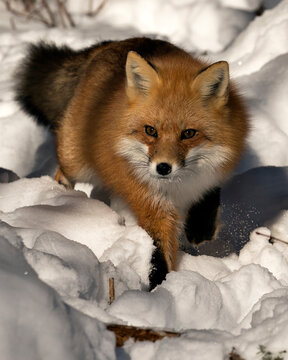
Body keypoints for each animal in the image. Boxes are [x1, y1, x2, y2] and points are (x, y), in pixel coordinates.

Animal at [15, 37, 249, 290]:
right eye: (150, 131)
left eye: (188, 133)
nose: (163, 168)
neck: (179, 185)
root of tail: (112, 43)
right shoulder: (151, 201)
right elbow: (159, 251)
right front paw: (160, 289)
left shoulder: (216, 169)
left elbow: (209, 194)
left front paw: (200, 228)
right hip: (77, 161)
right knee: (63, 172)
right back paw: (60, 195)